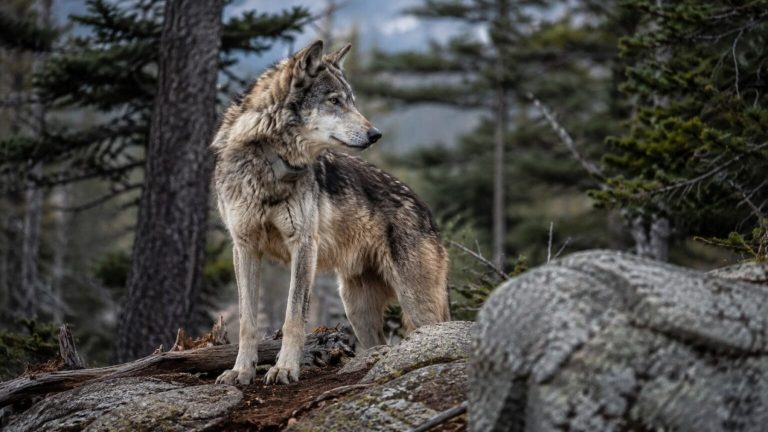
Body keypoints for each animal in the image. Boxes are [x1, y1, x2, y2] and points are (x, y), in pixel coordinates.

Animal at [211, 40, 450, 385]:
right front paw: (241, 371)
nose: (375, 134)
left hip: (417, 304)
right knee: (378, 342)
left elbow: (293, 317)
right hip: (356, 308)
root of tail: (426, 209)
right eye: (335, 101)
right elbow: (247, 321)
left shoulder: (303, 246)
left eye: (352, 102)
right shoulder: (244, 247)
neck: (268, 162)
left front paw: (285, 368)